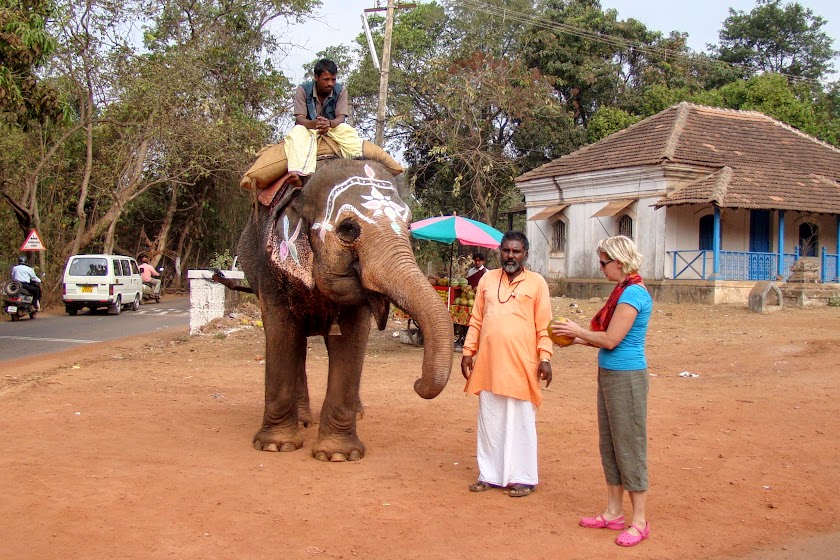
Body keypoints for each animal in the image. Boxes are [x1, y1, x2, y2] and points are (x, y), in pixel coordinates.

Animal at [233, 156, 456, 460]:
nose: (417, 383)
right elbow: (281, 333)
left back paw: (355, 414)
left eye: (410, 226)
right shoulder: (270, 270)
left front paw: (337, 455)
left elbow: (351, 340)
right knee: (297, 345)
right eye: (348, 229)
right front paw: (276, 446)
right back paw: (303, 420)